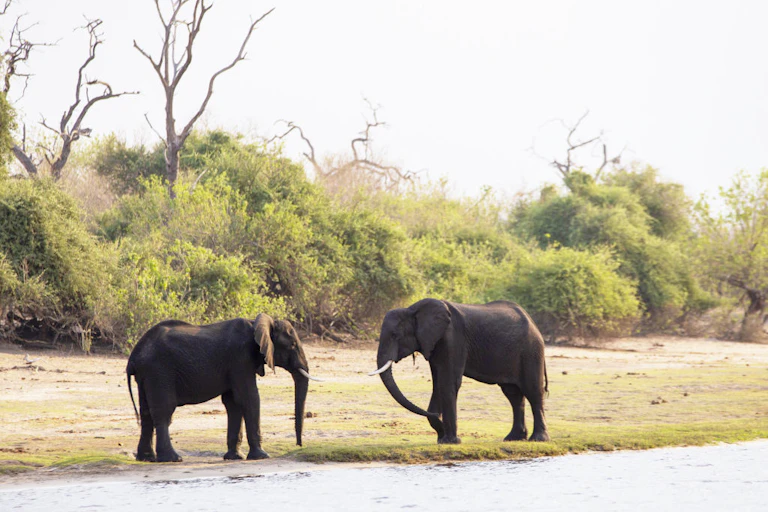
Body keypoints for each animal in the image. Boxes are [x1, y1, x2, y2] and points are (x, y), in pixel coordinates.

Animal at [126, 314, 321, 462]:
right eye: (292, 345)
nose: (299, 445)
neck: (257, 323)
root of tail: (134, 356)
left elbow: (233, 403)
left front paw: (235, 457)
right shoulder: (240, 359)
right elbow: (249, 398)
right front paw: (262, 456)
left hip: (147, 375)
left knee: (146, 414)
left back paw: (147, 458)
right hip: (159, 371)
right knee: (164, 412)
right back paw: (173, 459)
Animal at [370, 298, 550, 444]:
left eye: (395, 335)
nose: (440, 424)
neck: (412, 310)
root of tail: (534, 323)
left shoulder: (453, 340)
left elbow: (448, 383)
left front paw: (451, 441)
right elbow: (438, 384)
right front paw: (442, 439)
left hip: (531, 351)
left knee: (533, 391)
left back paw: (538, 439)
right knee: (513, 395)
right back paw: (514, 438)